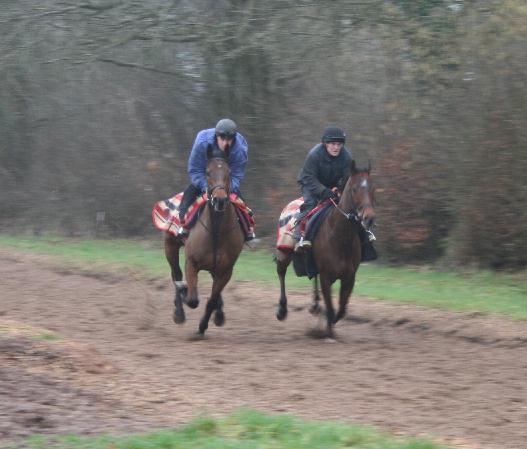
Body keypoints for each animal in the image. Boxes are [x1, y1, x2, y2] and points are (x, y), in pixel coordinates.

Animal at [165, 145, 245, 334]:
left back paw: (219, 314)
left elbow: (212, 299)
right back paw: (179, 311)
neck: (216, 231)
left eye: (229, 172)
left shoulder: (226, 270)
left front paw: (203, 326)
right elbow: (192, 299)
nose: (220, 200)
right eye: (208, 172)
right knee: (176, 274)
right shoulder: (191, 263)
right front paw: (184, 293)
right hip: (170, 246)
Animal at [276, 159, 376, 338]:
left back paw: (315, 305)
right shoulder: (326, 276)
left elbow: (341, 309)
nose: (369, 218)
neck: (341, 238)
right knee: (281, 272)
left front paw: (330, 324)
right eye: (354, 189)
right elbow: (330, 307)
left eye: (372, 188)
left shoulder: (349, 277)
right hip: (284, 251)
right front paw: (327, 332)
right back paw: (282, 310)